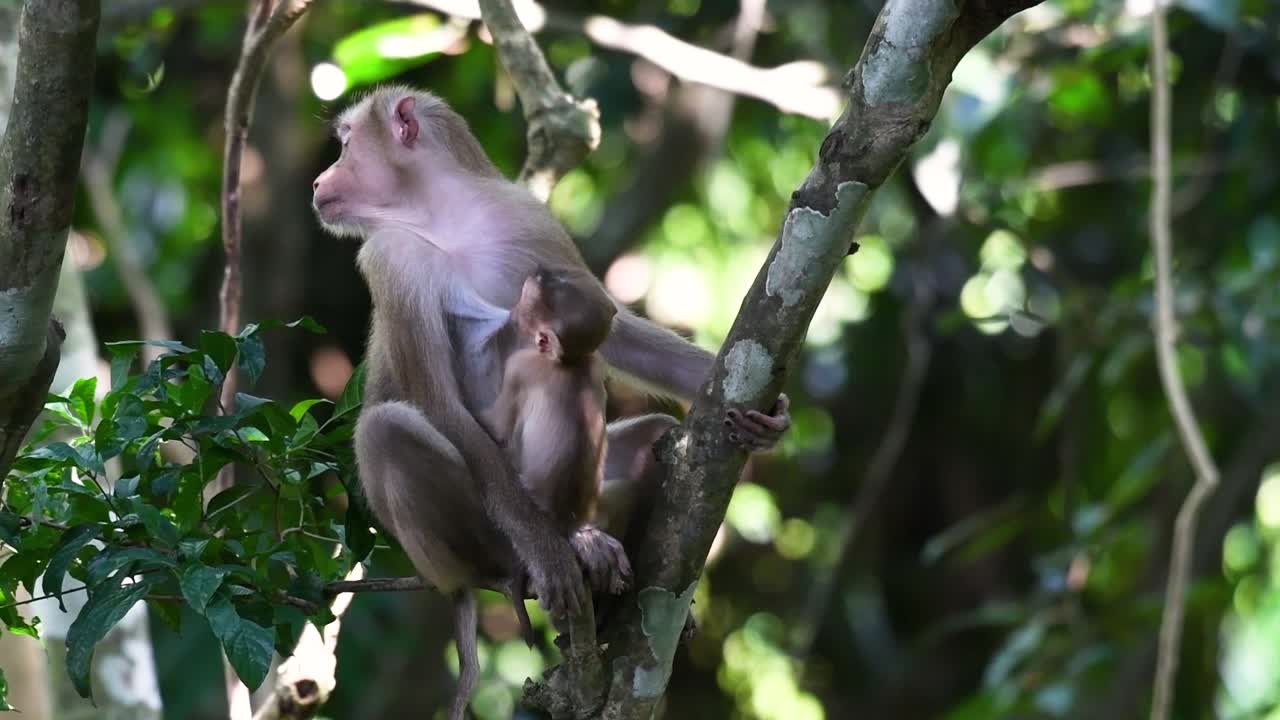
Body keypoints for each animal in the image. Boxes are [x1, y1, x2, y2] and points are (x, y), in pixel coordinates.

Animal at [312, 86, 791, 718]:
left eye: (346, 144)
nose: (319, 178)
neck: (443, 215)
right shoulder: (390, 260)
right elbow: (438, 406)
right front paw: (550, 556)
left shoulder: (527, 219)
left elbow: (611, 330)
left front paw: (768, 414)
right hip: (451, 550)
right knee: (388, 429)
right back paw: (530, 565)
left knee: (650, 435)